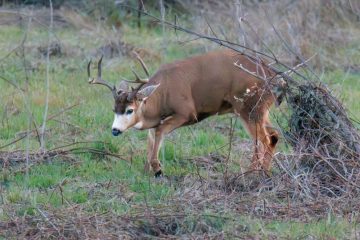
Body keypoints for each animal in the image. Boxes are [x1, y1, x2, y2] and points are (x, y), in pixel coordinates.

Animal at [88, 49, 284, 176]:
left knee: (264, 139)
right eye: (114, 109)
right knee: (273, 135)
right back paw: (263, 172)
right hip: (259, 110)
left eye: (130, 110)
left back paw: (254, 174)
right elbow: (151, 135)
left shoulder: (186, 112)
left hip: (249, 107)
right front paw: (146, 170)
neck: (164, 92)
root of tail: (275, 78)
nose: (115, 130)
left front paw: (158, 169)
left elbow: (159, 131)